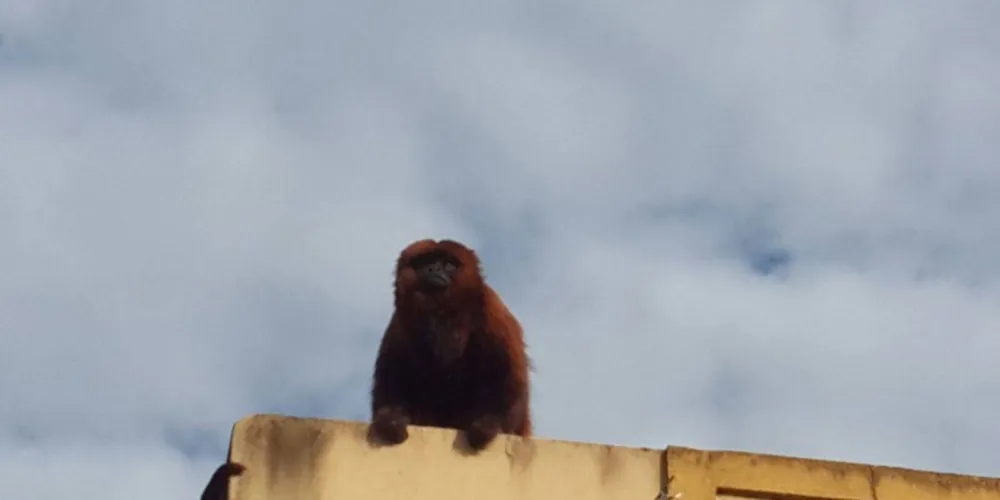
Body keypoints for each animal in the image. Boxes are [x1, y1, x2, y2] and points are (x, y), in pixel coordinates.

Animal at [369, 238, 532, 452]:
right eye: (424, 262)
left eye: (448, 264)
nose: (433, 268)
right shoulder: (399, 326)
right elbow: (390, 381)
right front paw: (391, 418)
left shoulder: (493, 313)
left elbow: (510, 377)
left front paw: (491, 423)